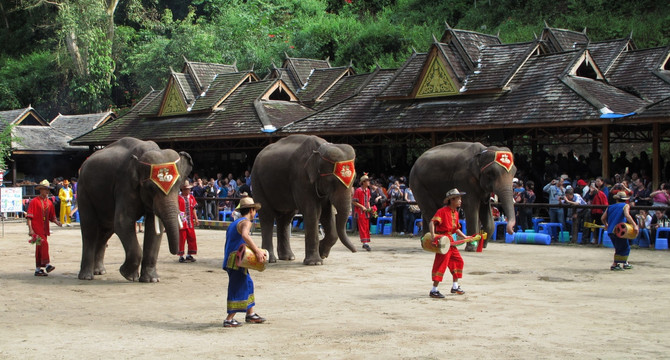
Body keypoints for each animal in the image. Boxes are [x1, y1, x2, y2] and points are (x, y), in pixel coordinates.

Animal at [79, 137, 194, 282]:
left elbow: (154, 227)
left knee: (106, 230)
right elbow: (123, 222)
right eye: (150, 187)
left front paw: (151, 280)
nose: (177, 254)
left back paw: (99, 272)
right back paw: (86, 276)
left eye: (178, 185)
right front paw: (128, 275)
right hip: (84, 191)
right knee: (90, 229)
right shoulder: (124, 185)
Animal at [251, 135, 356, 264]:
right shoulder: (300, 177)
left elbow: (327, 213)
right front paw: (315, 262)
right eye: (332, 181)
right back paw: (269, 260)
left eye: (355, 179)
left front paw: (322, 253)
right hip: (257, 181)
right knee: (267, 216)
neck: (321, 148)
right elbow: (313, 211)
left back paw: (288, 257)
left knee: (286, 218)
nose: (355, 251)